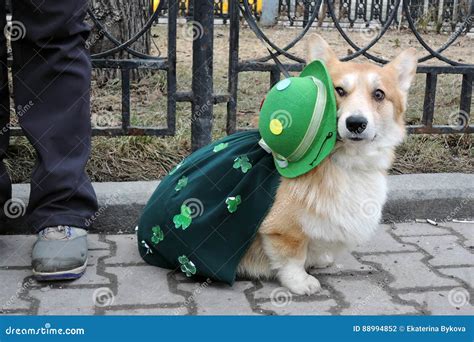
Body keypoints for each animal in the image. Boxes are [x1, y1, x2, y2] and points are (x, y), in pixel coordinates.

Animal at [236, 35, 414, 296]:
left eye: (379, 94)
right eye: (339, 90)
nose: (356, 123)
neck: (346, 161)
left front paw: (320, 259)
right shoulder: (282, 229)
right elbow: (292, 257)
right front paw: (300, 282)